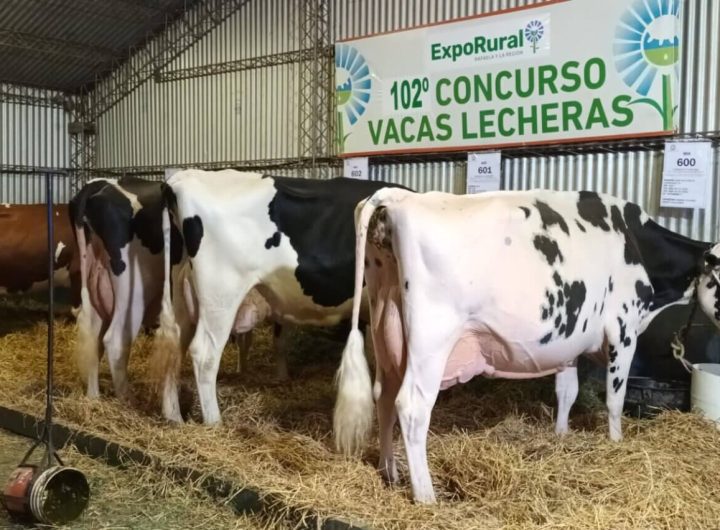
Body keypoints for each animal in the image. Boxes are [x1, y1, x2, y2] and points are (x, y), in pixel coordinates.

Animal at [154, 167, 408, 422]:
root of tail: (181, 178)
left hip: (181, 297)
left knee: (175, 347)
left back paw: (173, 416)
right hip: (221, 295)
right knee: (204, 354)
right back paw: (214, 422)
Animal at [332, 188, 720, 502]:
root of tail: (399, 198)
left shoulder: (569, 343)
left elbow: (567, 392)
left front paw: (561, 435)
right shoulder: (623, 330)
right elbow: (614, 400)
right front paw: (616, 443)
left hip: (385, 327)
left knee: (383, 395)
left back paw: (390, 472)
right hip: (432, 337)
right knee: (411, 406)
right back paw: (425, 495)